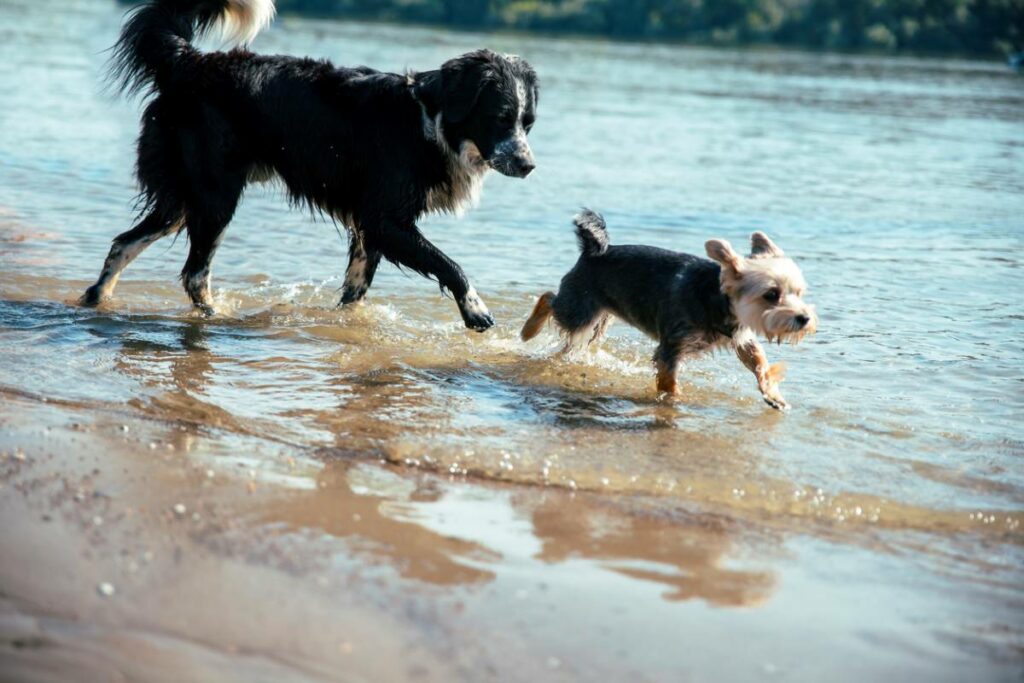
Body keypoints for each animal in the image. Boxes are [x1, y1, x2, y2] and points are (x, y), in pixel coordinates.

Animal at [79, 0, 536, 331]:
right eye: (499, 118)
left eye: (527, 123)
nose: (528, 165)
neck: (428, 120)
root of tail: (189, 61)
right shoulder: (385, 219)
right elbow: (449, 264)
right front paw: (476, 310)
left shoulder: (370, 227)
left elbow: (355, 289)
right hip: (215, 194)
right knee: (194, 273)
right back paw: (216, 318)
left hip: (182, 196)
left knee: (124, 243)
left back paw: (96, 299)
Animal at [520, 210, 815, 409]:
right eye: (771, 295)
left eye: (799, 293)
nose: (804, 318)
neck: (717, 298)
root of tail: (594, 250)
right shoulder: (672, 346)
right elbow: (669, 381)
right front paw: (675, 400)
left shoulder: (742, 338)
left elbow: (760, 363)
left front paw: (773, 395)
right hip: (579, 309)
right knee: (548, 298)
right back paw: (528, 331)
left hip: (597, 319)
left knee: (574, 342)